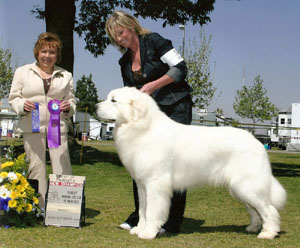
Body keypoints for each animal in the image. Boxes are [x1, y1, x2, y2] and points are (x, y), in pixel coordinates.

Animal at [97, 86, 288, 239]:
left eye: (113, 100)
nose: (94, 107)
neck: (142, 128)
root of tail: (257, 142)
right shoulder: (142, 185)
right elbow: (143, 210)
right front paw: (138, 229)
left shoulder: (155, 184)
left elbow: (152, 211)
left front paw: (148, 233)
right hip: (240, 188)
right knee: (255, 210)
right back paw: (253, 227)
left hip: (248, 186)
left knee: (269, 209)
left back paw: (269, 233)